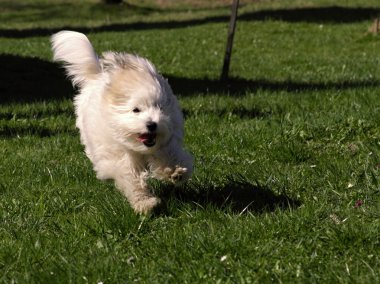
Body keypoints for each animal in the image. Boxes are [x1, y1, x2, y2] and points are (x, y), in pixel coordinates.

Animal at [51, 30, 193, 213]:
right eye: (136, 110)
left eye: (160, 108)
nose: (152, 125)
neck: (138, 147)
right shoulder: (120, 158)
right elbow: (131, 180)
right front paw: (145, 203)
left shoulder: (167, 141)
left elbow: (169, 154)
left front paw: (175, 172)